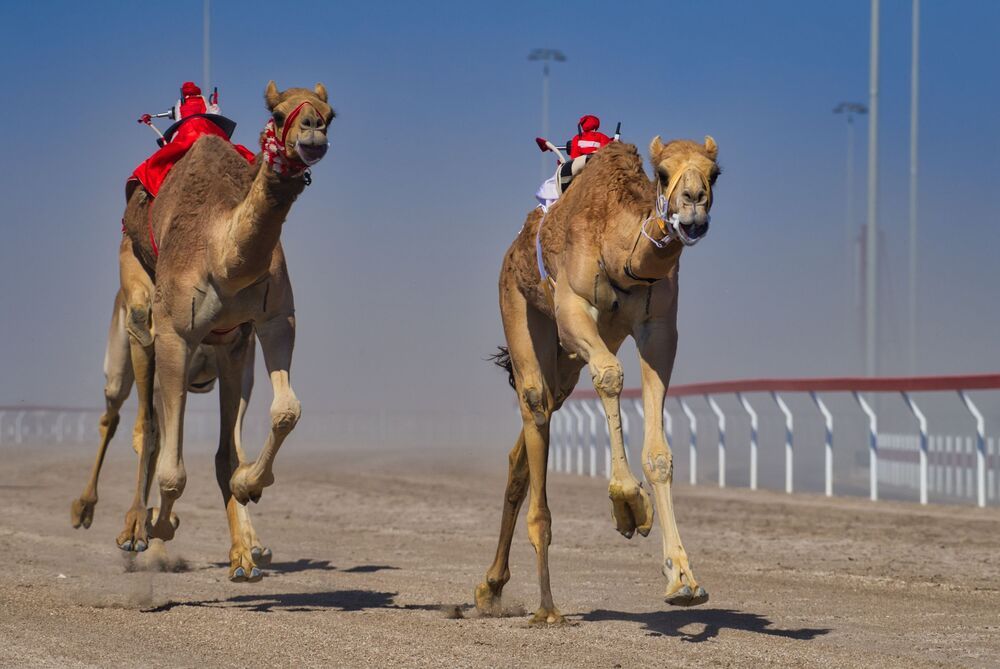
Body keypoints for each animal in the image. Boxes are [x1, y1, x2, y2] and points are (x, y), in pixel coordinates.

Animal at [108, 81, 332, 581]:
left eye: (330, 114)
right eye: (279, 113)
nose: (313, 131)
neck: (223, 257)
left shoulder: (274, 319)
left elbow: (285, 412)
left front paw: (249, 488)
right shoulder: (175, 333)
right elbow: (170, 466)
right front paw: (161, 525)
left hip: (235, 356)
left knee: (223, 447)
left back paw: (244, 553)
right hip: (138, 304)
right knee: (147, 429)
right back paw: (134, 529)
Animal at [475, 136, 721, 624]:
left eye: (715, 174)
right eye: (662, 173)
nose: (693, 208)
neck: (620, 249)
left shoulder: (659, 328)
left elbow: (659, 454)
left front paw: (682, 578)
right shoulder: (572, 307)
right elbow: (610, 376)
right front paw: (628, 506)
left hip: (575, 352)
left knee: (535, 429)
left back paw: (492, 588)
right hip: (520, 302)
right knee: (535, 400)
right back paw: (544, 605)